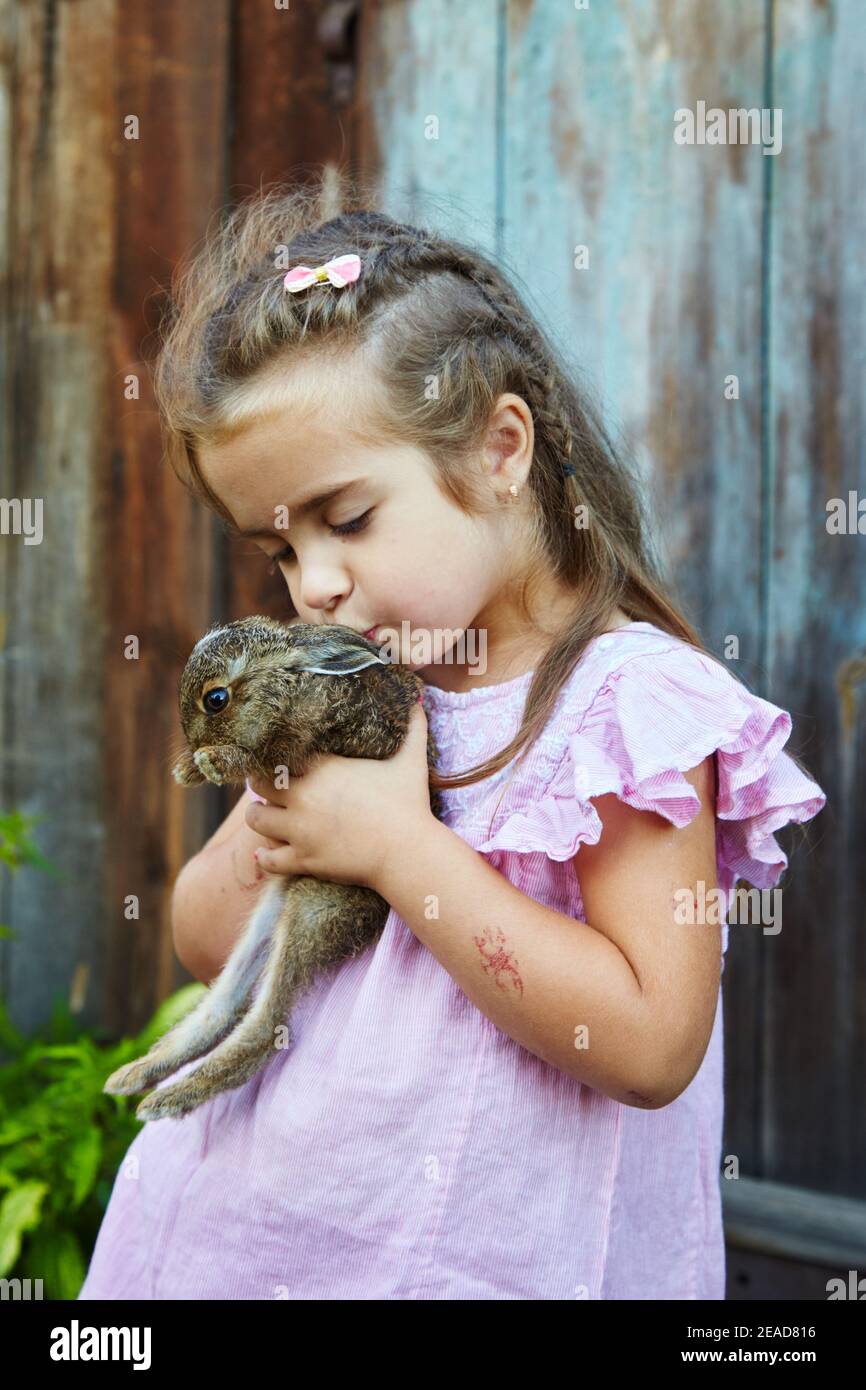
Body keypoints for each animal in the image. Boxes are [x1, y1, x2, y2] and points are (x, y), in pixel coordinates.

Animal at [104, 617, 444, 1117]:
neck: (290, 683)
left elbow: (260, 756)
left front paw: (210, 760)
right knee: (223, 1005)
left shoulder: (299, 737)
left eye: (216, 698)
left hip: (314, 908)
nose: (195, 745)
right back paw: (133, 1076)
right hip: (271, 912)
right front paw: (189, 769)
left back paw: (163, 1099)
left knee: (266, 1030)